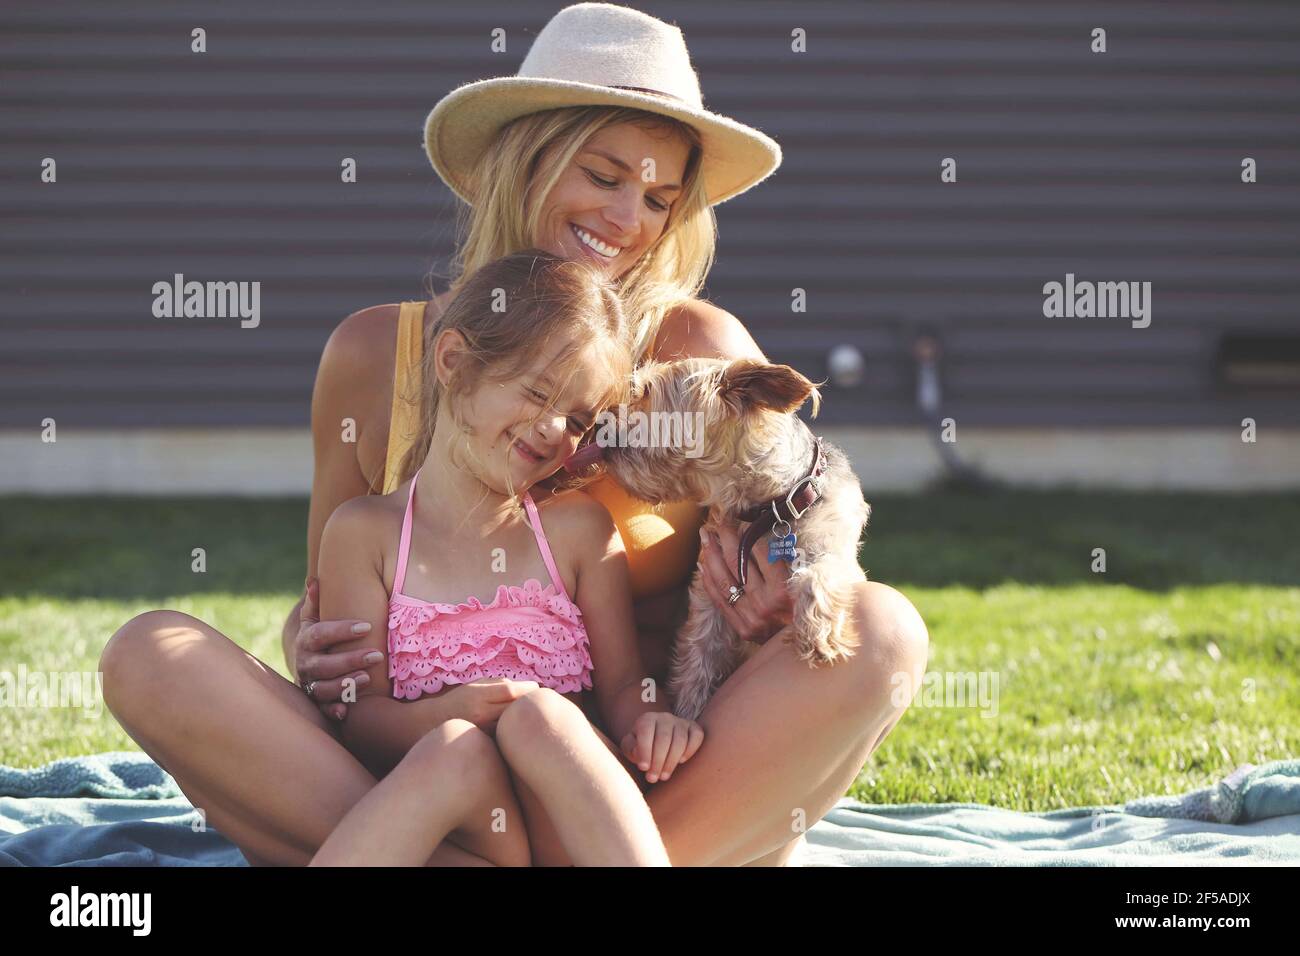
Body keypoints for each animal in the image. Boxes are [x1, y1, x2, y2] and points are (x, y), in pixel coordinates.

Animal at [600, 358, 868, 723]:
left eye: (647, 393)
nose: (601, 432)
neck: (766, 509)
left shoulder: (837, 549)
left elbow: (818, 575)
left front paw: (818, 634)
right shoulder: (708, 595)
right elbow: (697, 658)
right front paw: (685, 717)